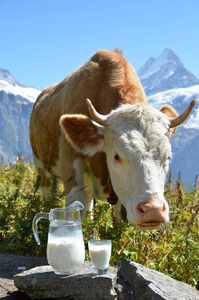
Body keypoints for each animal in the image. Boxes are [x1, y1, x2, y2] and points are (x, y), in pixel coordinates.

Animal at [28, 50, 195, 231]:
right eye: (116, 156)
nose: (152, 210)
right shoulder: (69, 156)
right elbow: (75, 206)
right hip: (41, 167)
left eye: (168, 157)